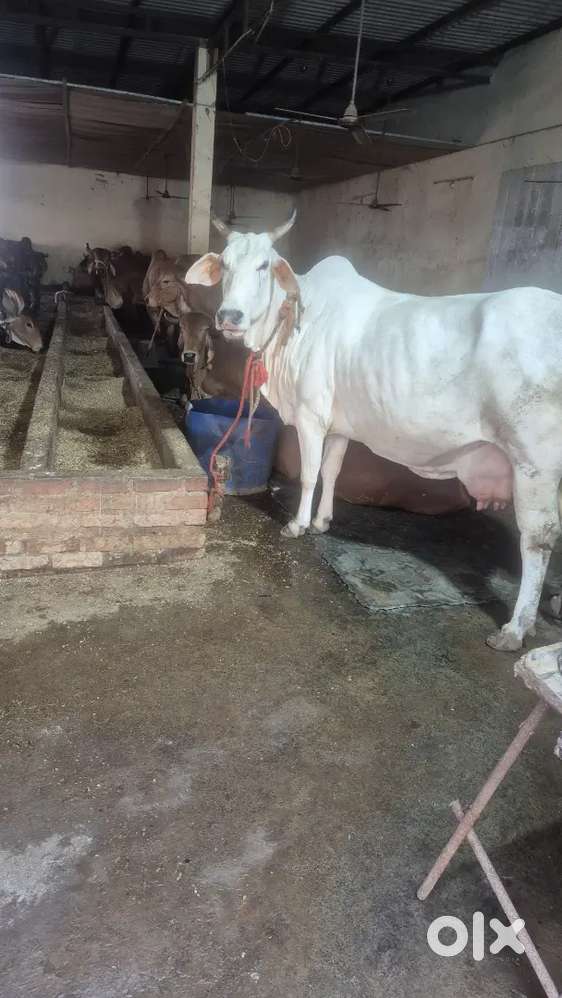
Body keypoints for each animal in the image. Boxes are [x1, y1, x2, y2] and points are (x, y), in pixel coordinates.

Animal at [185, 210, 562, 653]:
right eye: (225, 265)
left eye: (264, 265)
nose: (229, 317)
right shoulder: (339, 424)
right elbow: (331, 470)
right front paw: (323, 521)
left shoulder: (311, 415)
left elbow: (310, 473)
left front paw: (298, 524)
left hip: (535, 462)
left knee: (537, 538)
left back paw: (516, 627)